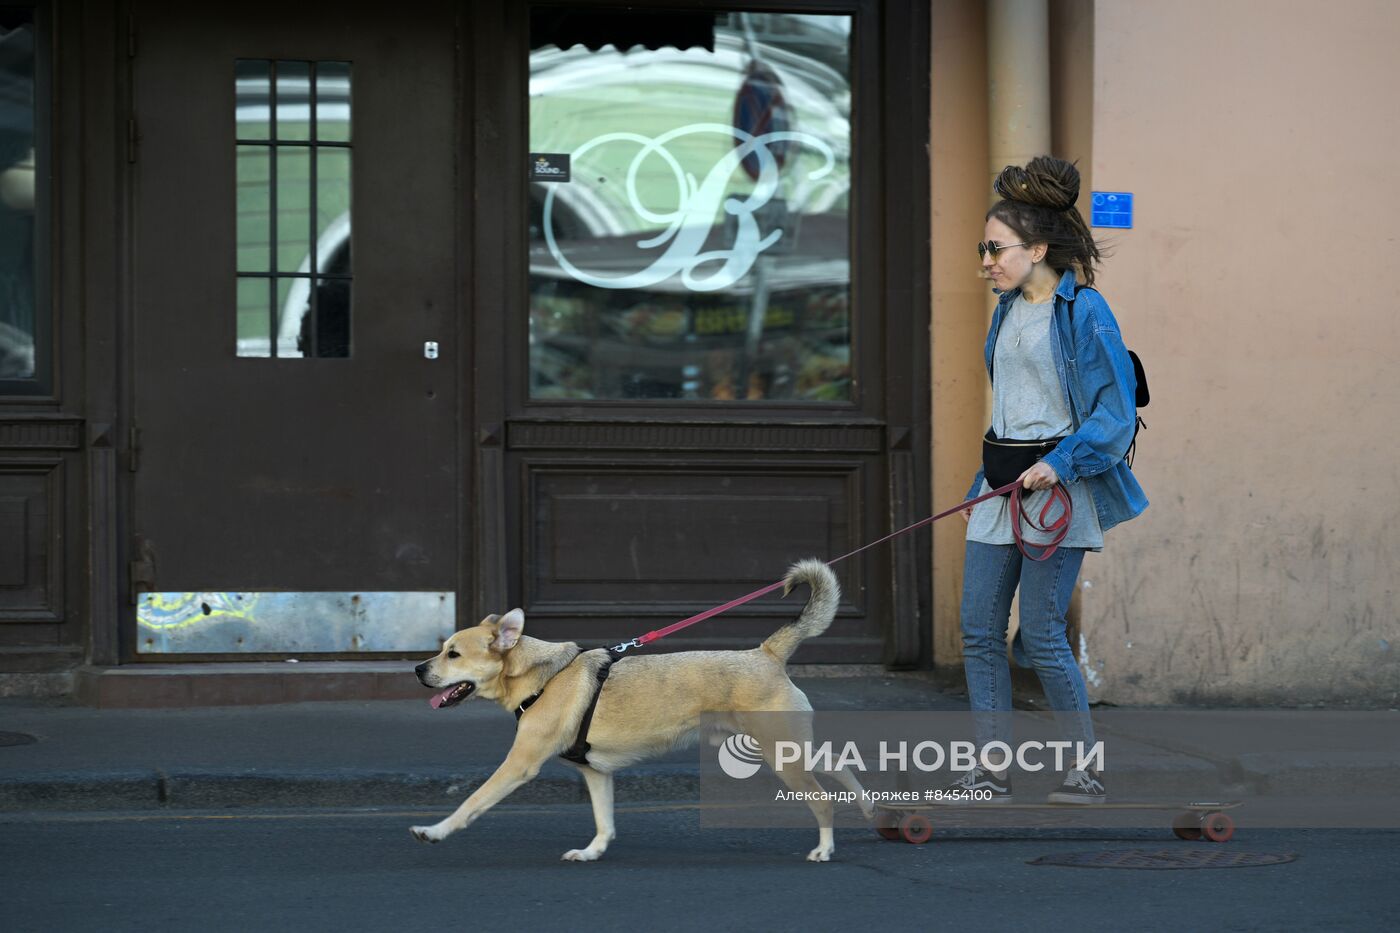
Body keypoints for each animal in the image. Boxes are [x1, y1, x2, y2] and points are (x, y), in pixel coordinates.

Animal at [411, 554, 873, 862]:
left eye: (453, 654)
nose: (417, 669)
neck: (544, 676)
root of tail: (767, 653)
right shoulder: (596, 773)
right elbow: (604, 822)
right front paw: (592, 852)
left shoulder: (518, 765)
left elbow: (471, 803)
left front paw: (434, 831)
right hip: (785, 749)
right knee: (839, 762)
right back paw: (868, 807)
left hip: (783, 757)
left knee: (823, 800)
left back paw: (825, 848)